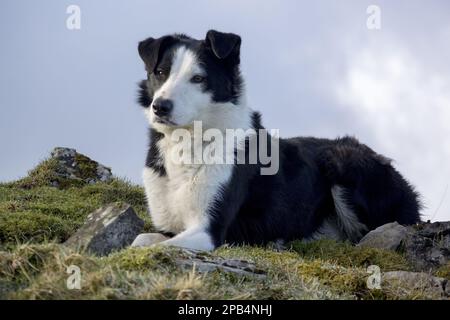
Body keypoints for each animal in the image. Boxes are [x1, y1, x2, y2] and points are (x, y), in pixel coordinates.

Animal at [132, 30, 420, 251]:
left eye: (198, 78)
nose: (160, 107)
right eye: (160, 72)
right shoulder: (169, 226)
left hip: (342, 162)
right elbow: (141, 239)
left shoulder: (209, 229)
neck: (187, 141)